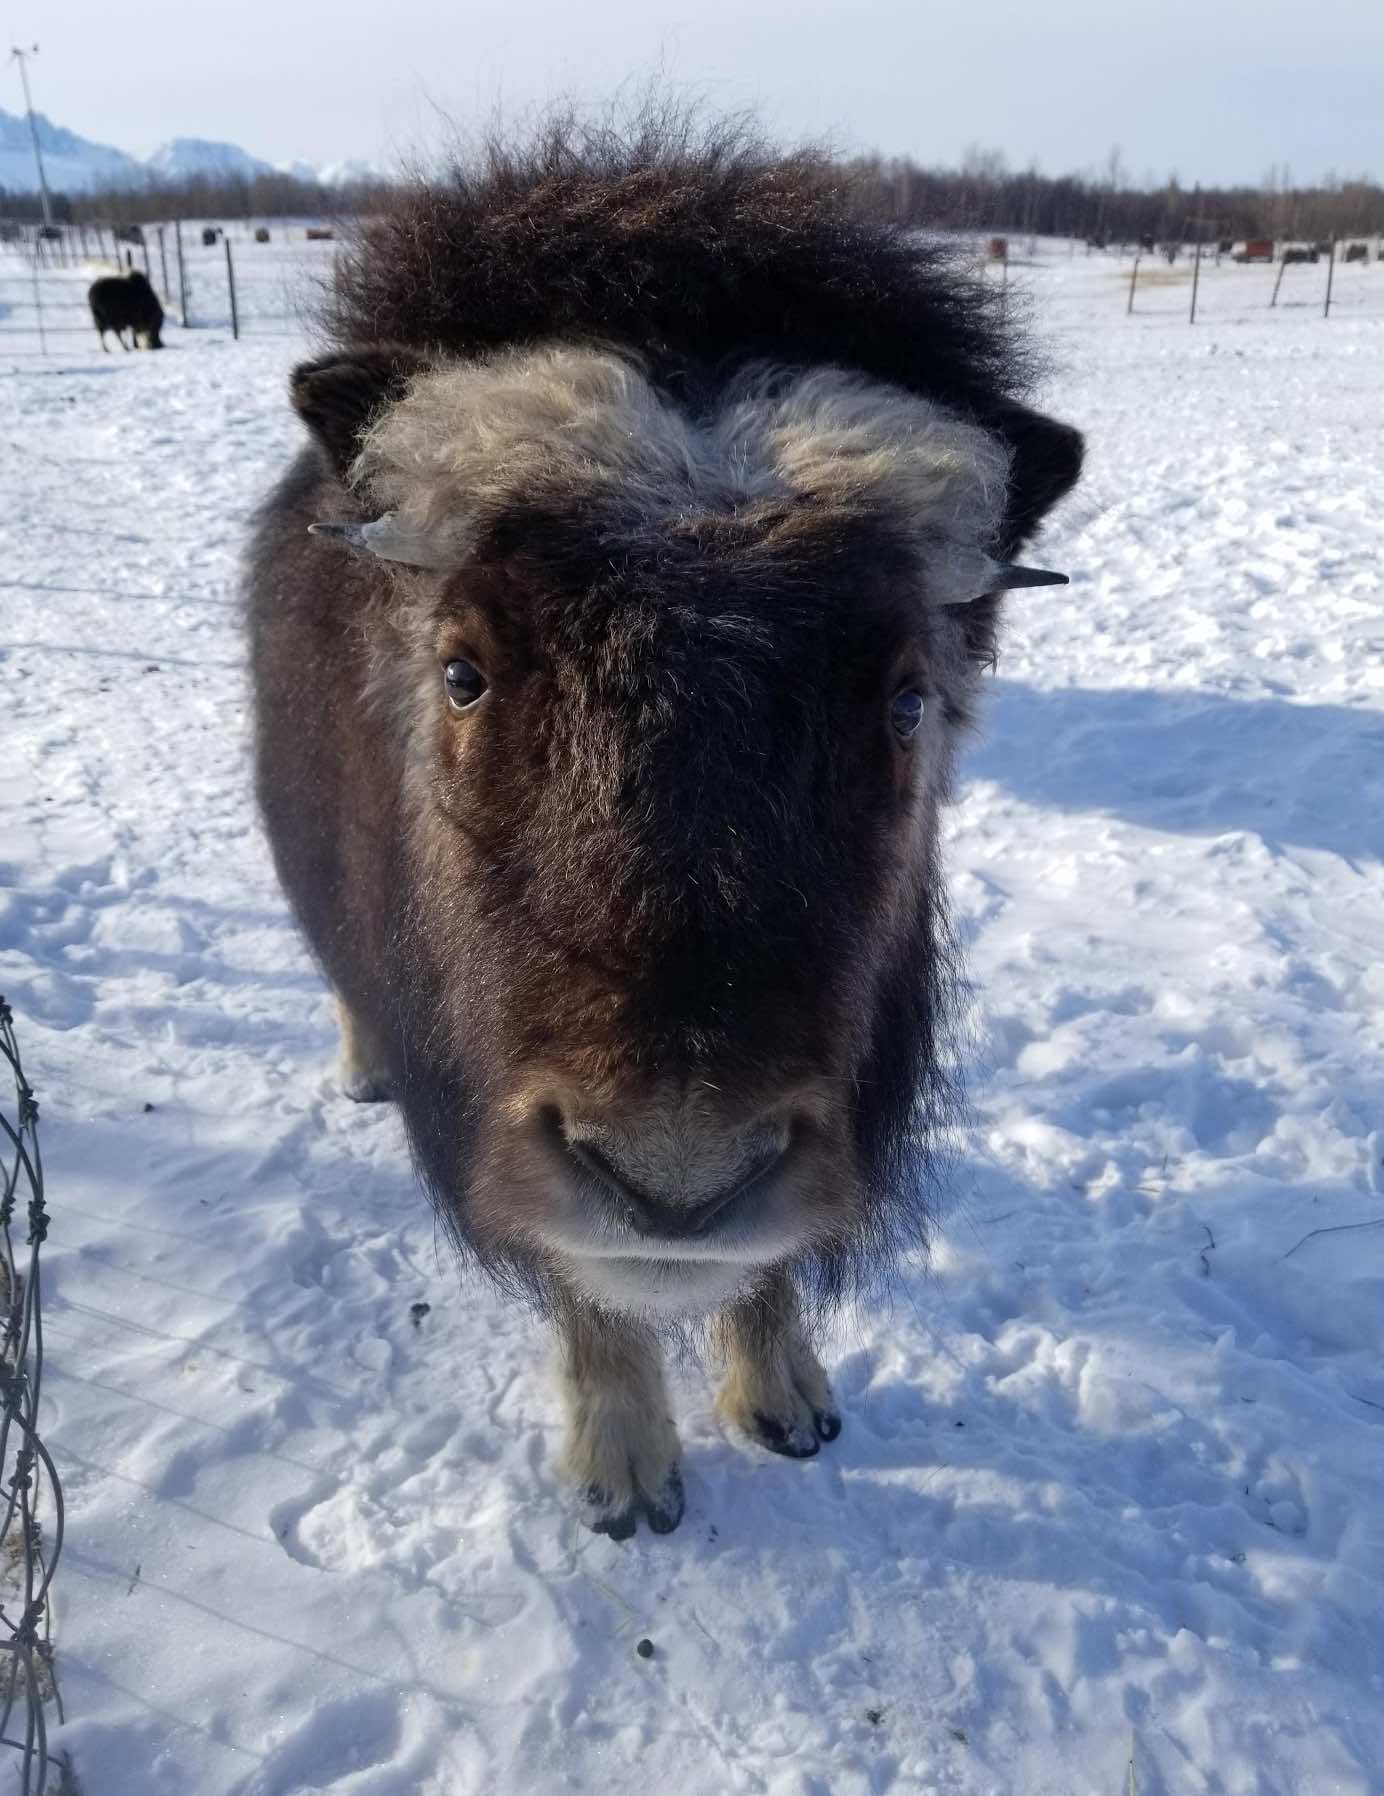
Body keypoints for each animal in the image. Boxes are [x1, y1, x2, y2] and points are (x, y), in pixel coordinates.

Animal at [249, 119, 1084, 1537]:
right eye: (463, 672)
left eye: (906, 699)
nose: (676, 1181)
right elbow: (580, 1279)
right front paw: (625, 1467)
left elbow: (770, 1270)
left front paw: (784, 1394)